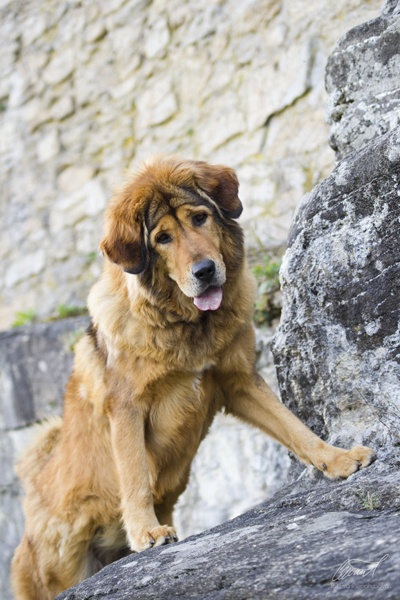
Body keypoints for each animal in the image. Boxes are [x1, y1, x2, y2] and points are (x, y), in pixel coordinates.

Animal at [11, 157, 376, 596]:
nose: (205, 271)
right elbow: (134, 475)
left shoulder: (239, 381)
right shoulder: (127, 409)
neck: (185, 326)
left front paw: (337, 459)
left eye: (200, 218)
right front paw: (146, 531)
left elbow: (296, 430)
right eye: (163, 239)